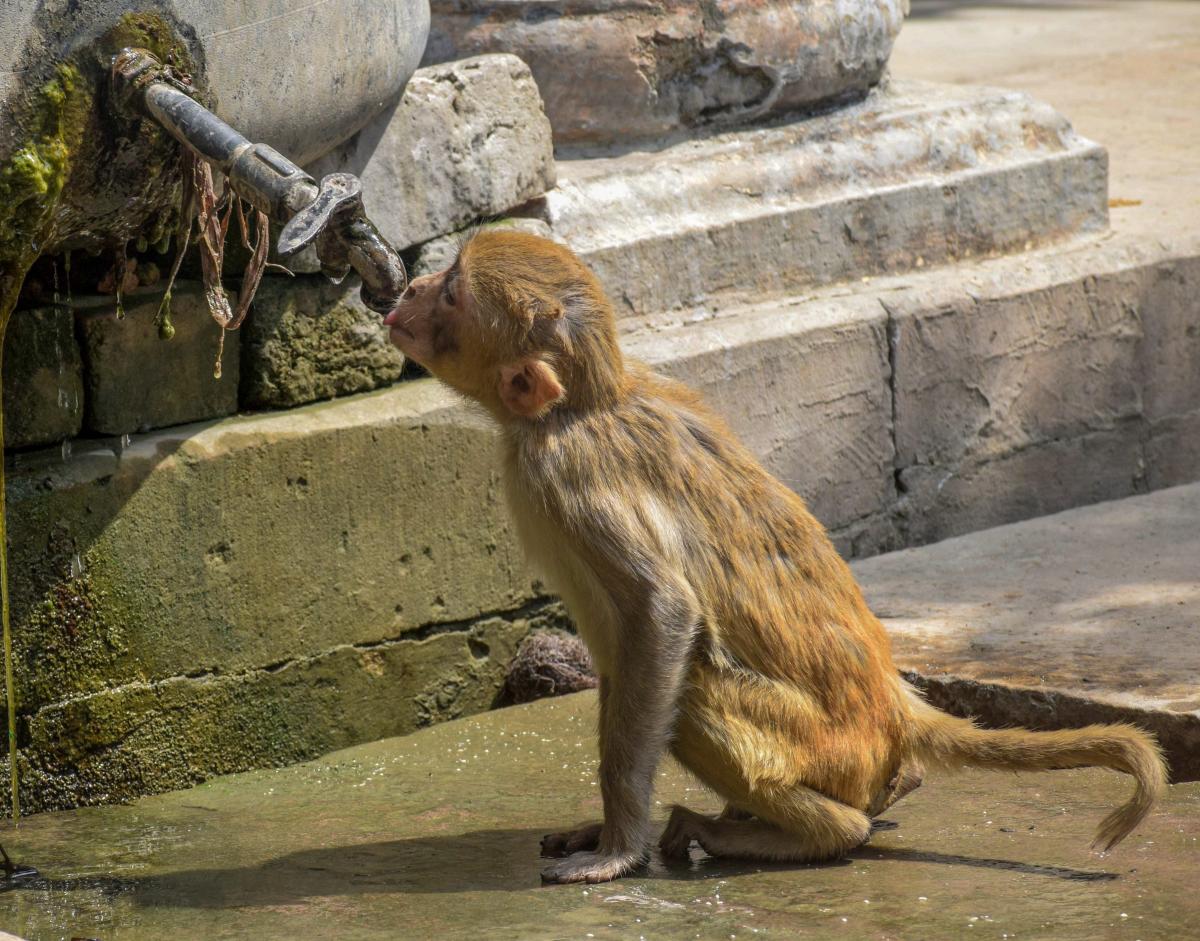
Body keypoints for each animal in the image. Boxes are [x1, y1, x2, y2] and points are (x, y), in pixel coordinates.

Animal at [384, 230, 1167, 885]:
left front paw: (618, 846)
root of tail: (897, 710)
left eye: (452, 294)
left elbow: (662, 615)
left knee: (696, 694)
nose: (413, 285)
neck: (580, 407)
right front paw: (602, 831)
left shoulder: (567, 474)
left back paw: (811, 831)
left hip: (823, 748)